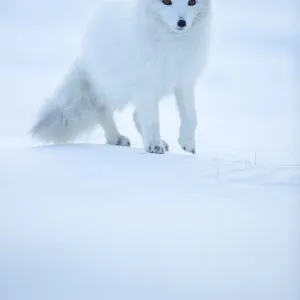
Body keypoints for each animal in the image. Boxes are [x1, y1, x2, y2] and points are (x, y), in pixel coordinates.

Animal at [31, 0, 211, 155]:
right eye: (166, 1)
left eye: (192, 2)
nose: (182, 22)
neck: (172, 45)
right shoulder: (144, 83)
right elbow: (151, 120)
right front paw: (153, 145)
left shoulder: (184, 81)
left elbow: (191, 117)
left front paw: (187, 142)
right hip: (116, 89)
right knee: (102, 109)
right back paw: (115, 138)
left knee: (135, 115)